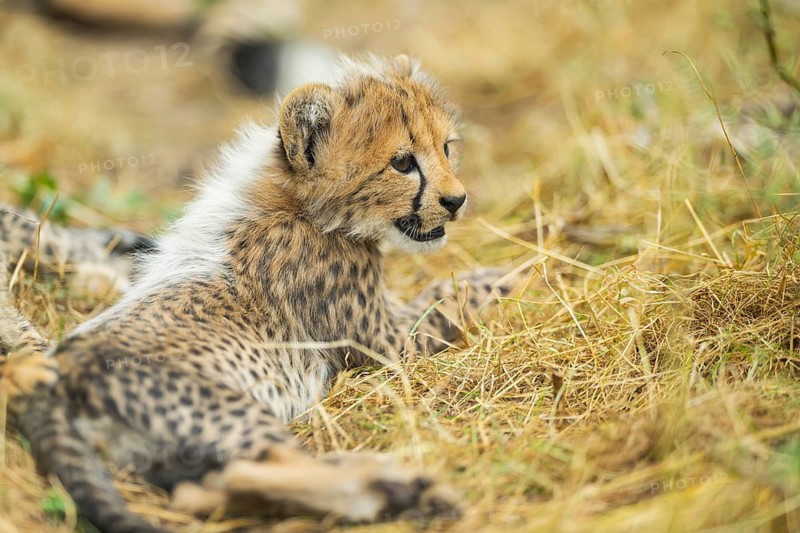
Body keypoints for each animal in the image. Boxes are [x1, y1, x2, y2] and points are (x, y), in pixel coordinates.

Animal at [0, 55, 518, 533]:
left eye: (447, 149)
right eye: (402, 162)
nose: (456, 201)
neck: (299, 205)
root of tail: (50, 378)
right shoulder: (389, 345)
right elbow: (439, 300)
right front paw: (508, 276)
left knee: (199, 493)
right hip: (226, 410)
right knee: (247, 472)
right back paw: (399, 488)